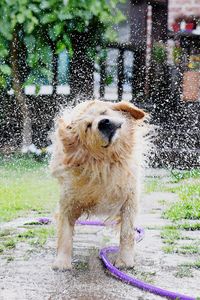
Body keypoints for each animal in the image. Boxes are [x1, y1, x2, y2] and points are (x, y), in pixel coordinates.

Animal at [50, 99, 147, 270]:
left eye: (104, 113)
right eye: (88, 126)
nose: (103, 123)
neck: (105, 164)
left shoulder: (130, 197)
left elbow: (127, 232)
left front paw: (124, 260)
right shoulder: (67, 200)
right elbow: (65, 232)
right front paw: (62, 261)